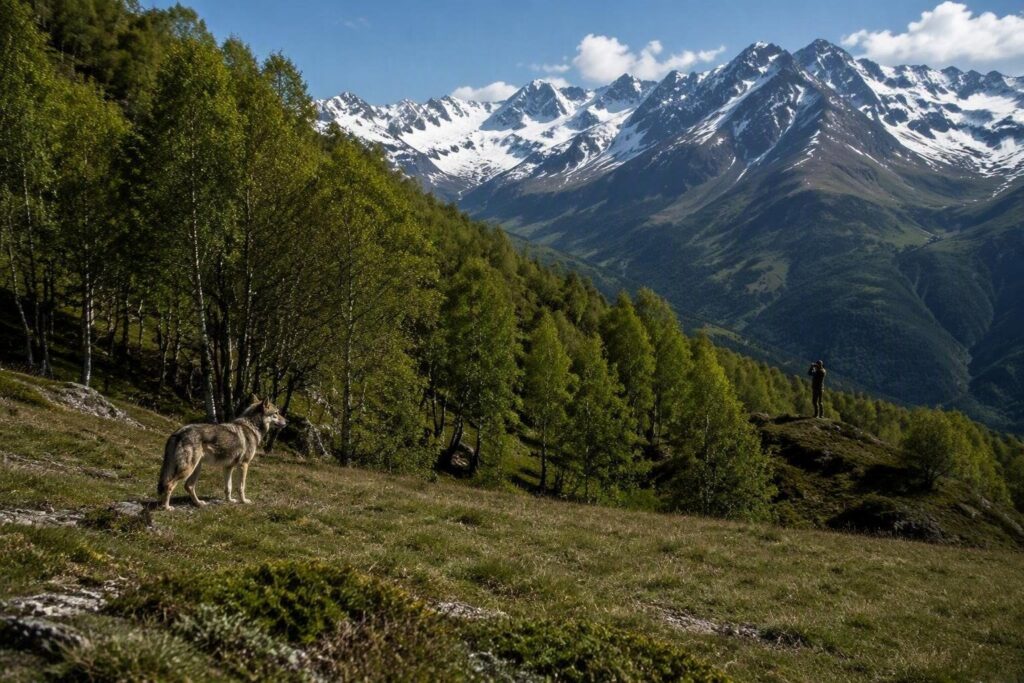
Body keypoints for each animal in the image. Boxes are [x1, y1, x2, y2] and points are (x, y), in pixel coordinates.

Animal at [157, 397, 287, 510]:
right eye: (276, 413)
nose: (287, 421)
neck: (251, 427)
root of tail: (178, 432)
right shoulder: (243, 465)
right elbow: (241, 487)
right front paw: (244, 501)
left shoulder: (228, 467)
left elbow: (228, 487)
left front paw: (230, 501)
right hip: (188, 469)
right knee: (169, 485)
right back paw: (166, 507)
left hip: (197, 468)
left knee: (188, 486)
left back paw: (199, 503)